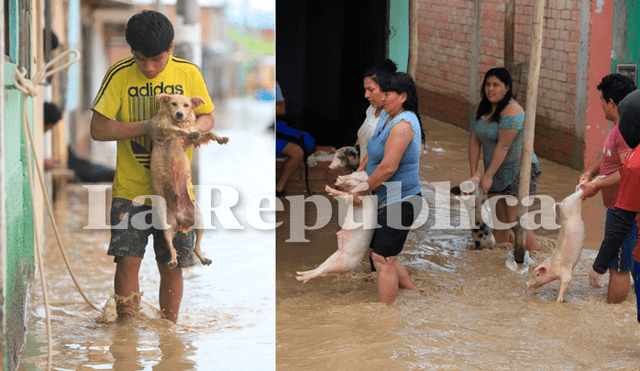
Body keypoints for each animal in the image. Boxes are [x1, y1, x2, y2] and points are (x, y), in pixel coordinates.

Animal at [149, 92, 229, 268]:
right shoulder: (164, 129)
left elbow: (207, 134)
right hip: (165, 225)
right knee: (171, 246)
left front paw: (220, 138)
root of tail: (180, 221)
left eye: (186, 105)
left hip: (198, 219)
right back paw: (173, 260)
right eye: (173, 104)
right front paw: (186, 131)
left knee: (195, 247)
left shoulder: (195, 140)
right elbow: (179, 130)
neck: (177, 121)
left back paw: (203, 258)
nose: (180, 114)